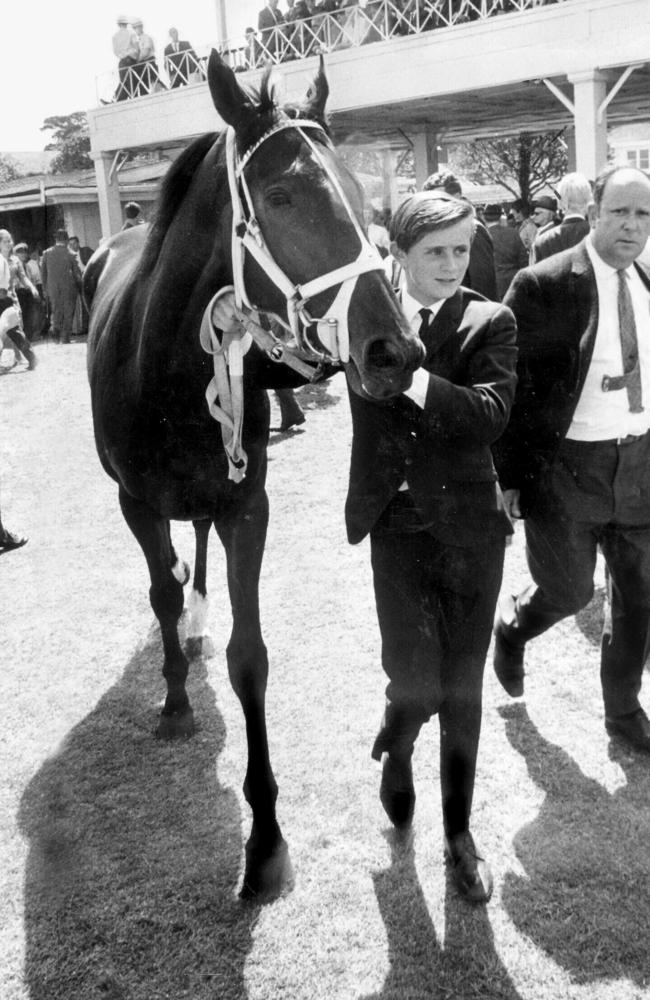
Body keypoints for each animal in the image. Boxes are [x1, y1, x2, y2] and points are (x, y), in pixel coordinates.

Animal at [83, 50, 422, 904]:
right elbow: (160, 593)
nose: (394, 350)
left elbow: (250, 656)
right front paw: (174, 697)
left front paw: (265, 839)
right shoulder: (134, 503)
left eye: (363, 191)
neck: (167, 373)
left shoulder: (246, 504)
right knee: (174, 575)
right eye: (280, 196)